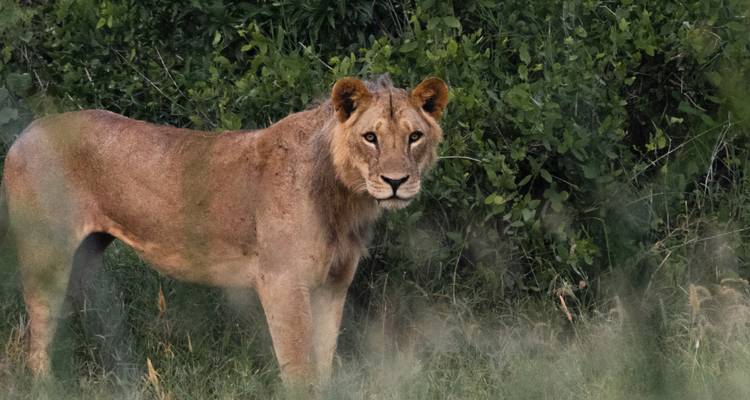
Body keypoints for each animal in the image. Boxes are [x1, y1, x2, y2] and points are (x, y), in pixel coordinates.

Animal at [0, 75, 449, 387]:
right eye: (370, 137)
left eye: (414, 137)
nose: (396, 181)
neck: (345, 198)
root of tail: (25, 133)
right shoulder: (281, 281)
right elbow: (299, 365)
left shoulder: (333, 284)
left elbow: (323, 358)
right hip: (46, 253)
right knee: (36, 333)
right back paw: (46, 384)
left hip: (86, 251)